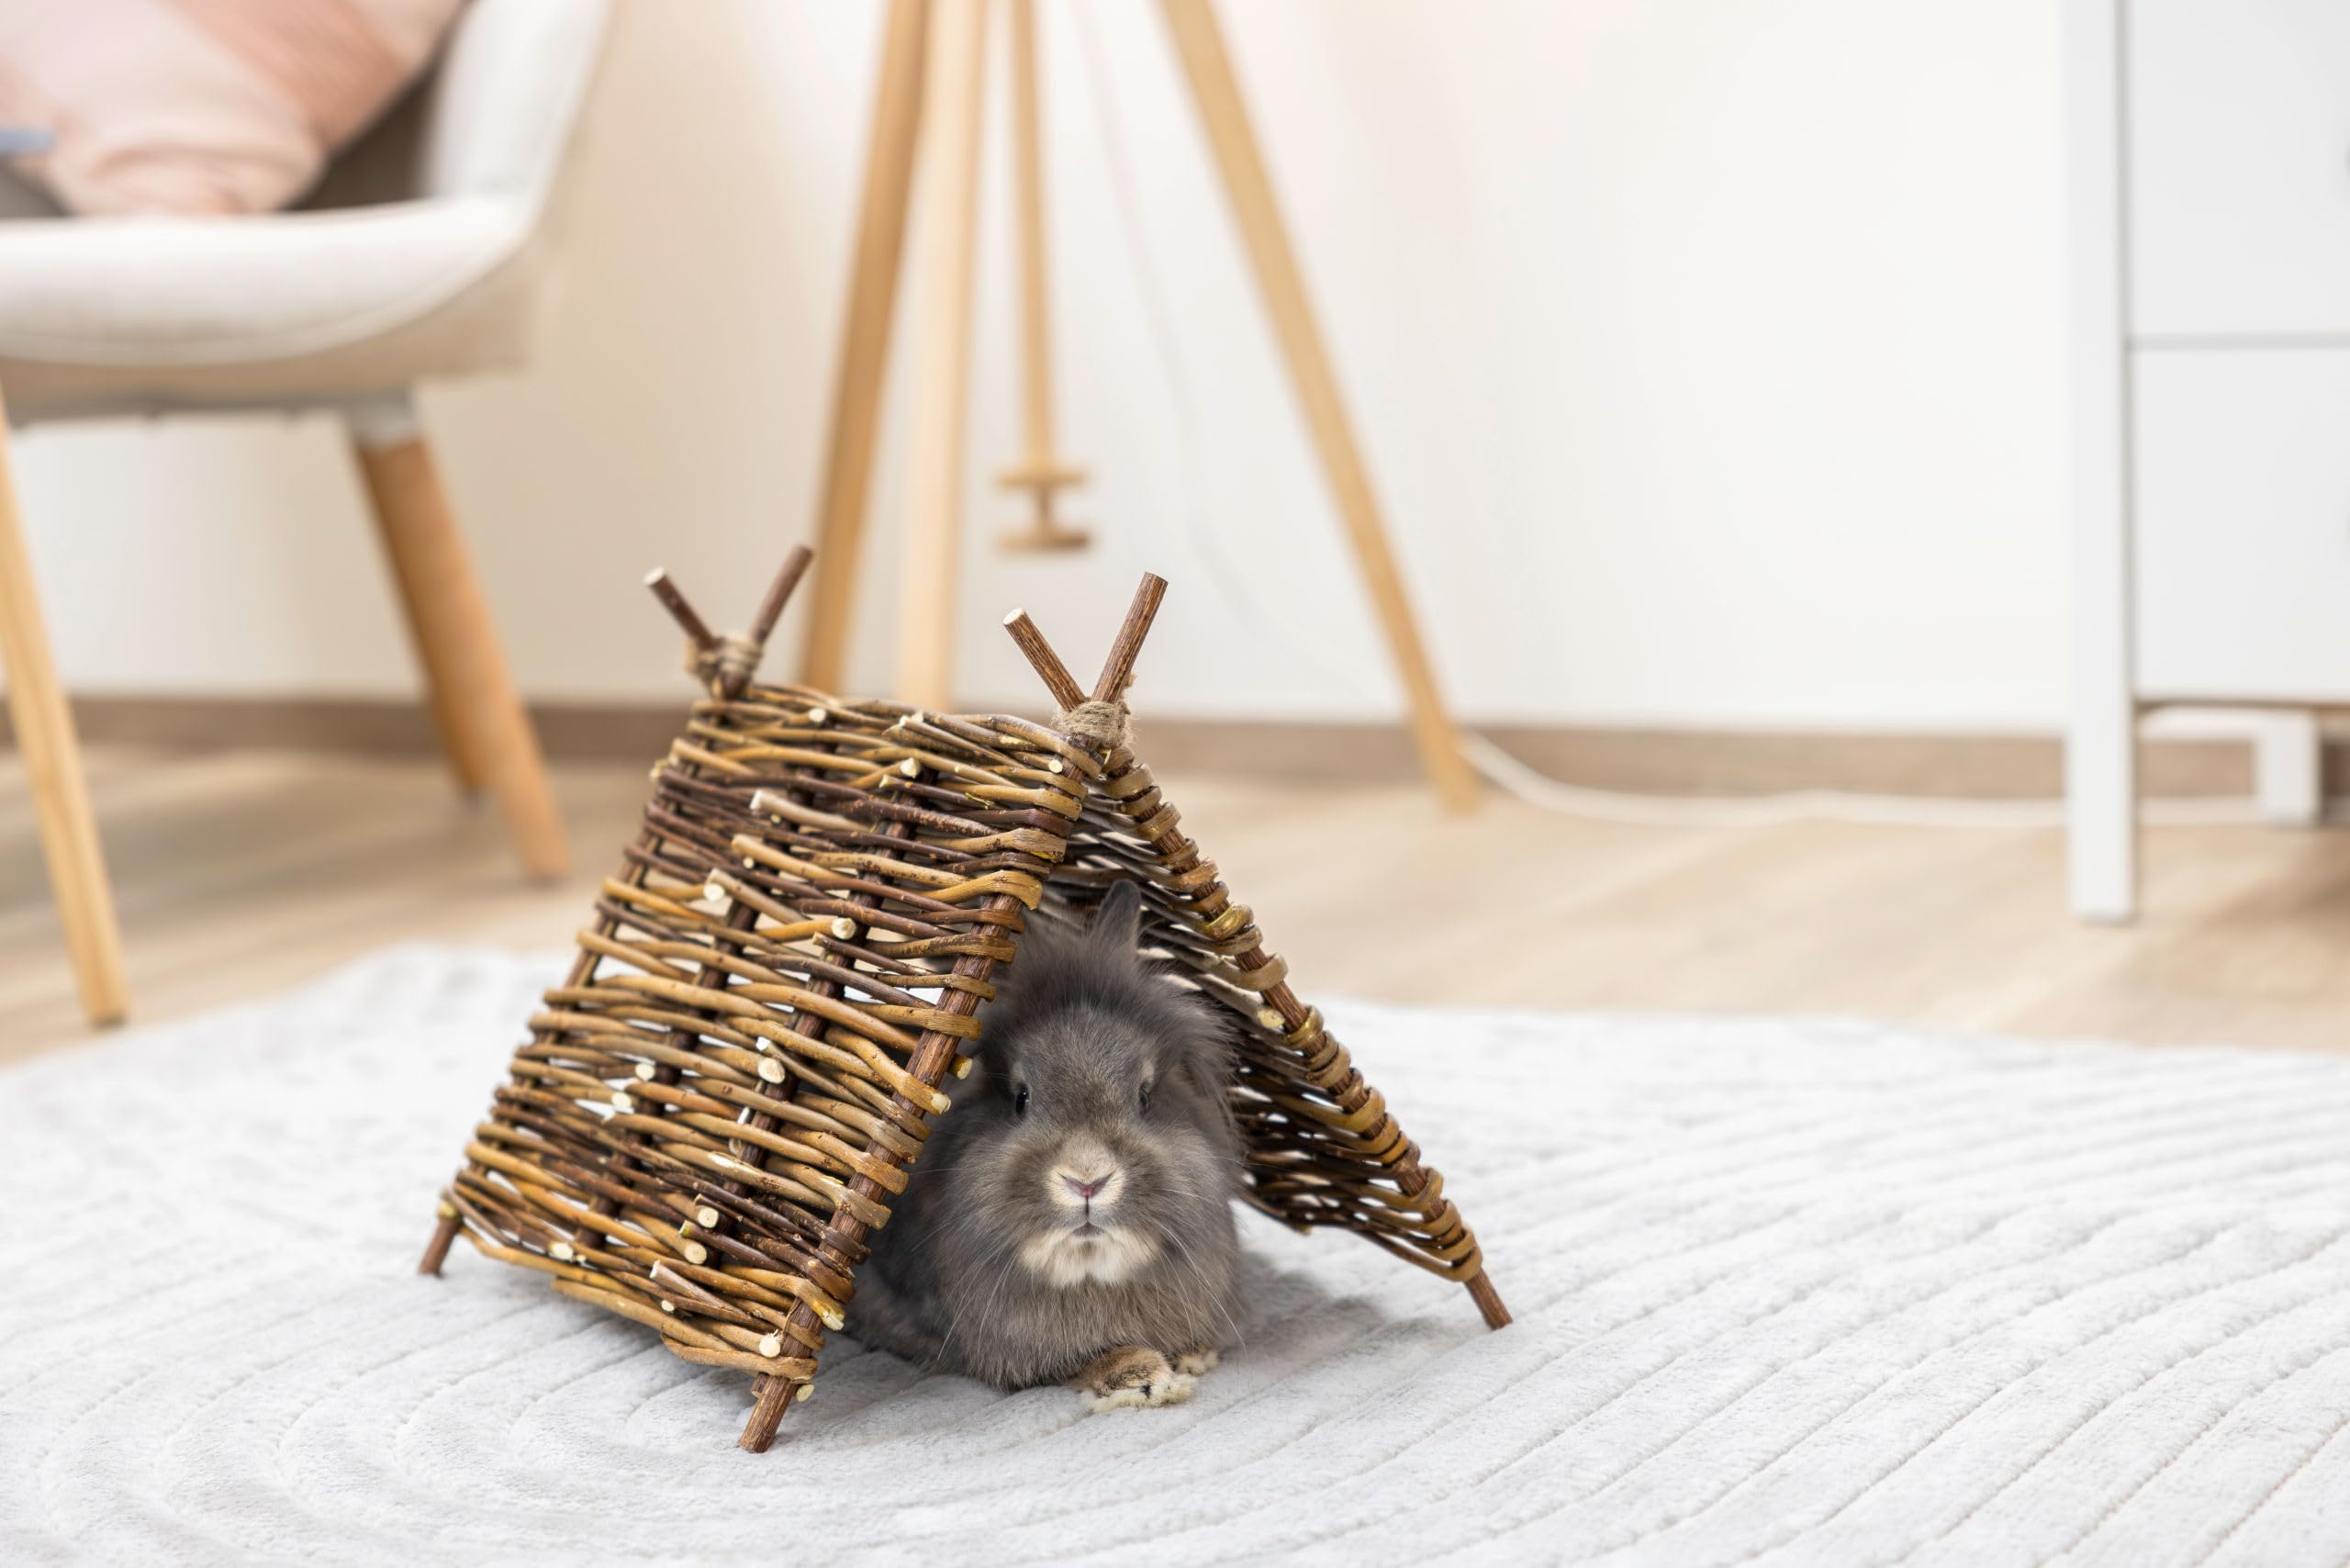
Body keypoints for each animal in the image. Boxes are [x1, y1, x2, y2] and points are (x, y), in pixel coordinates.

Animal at [848, 879, 1244, 1410]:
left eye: (1144, 1097)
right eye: (1020, 1099)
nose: (1087, 1181)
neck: (1088, 1274)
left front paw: (1194, 1354)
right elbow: (1073, 1362)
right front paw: (1142, 1375)